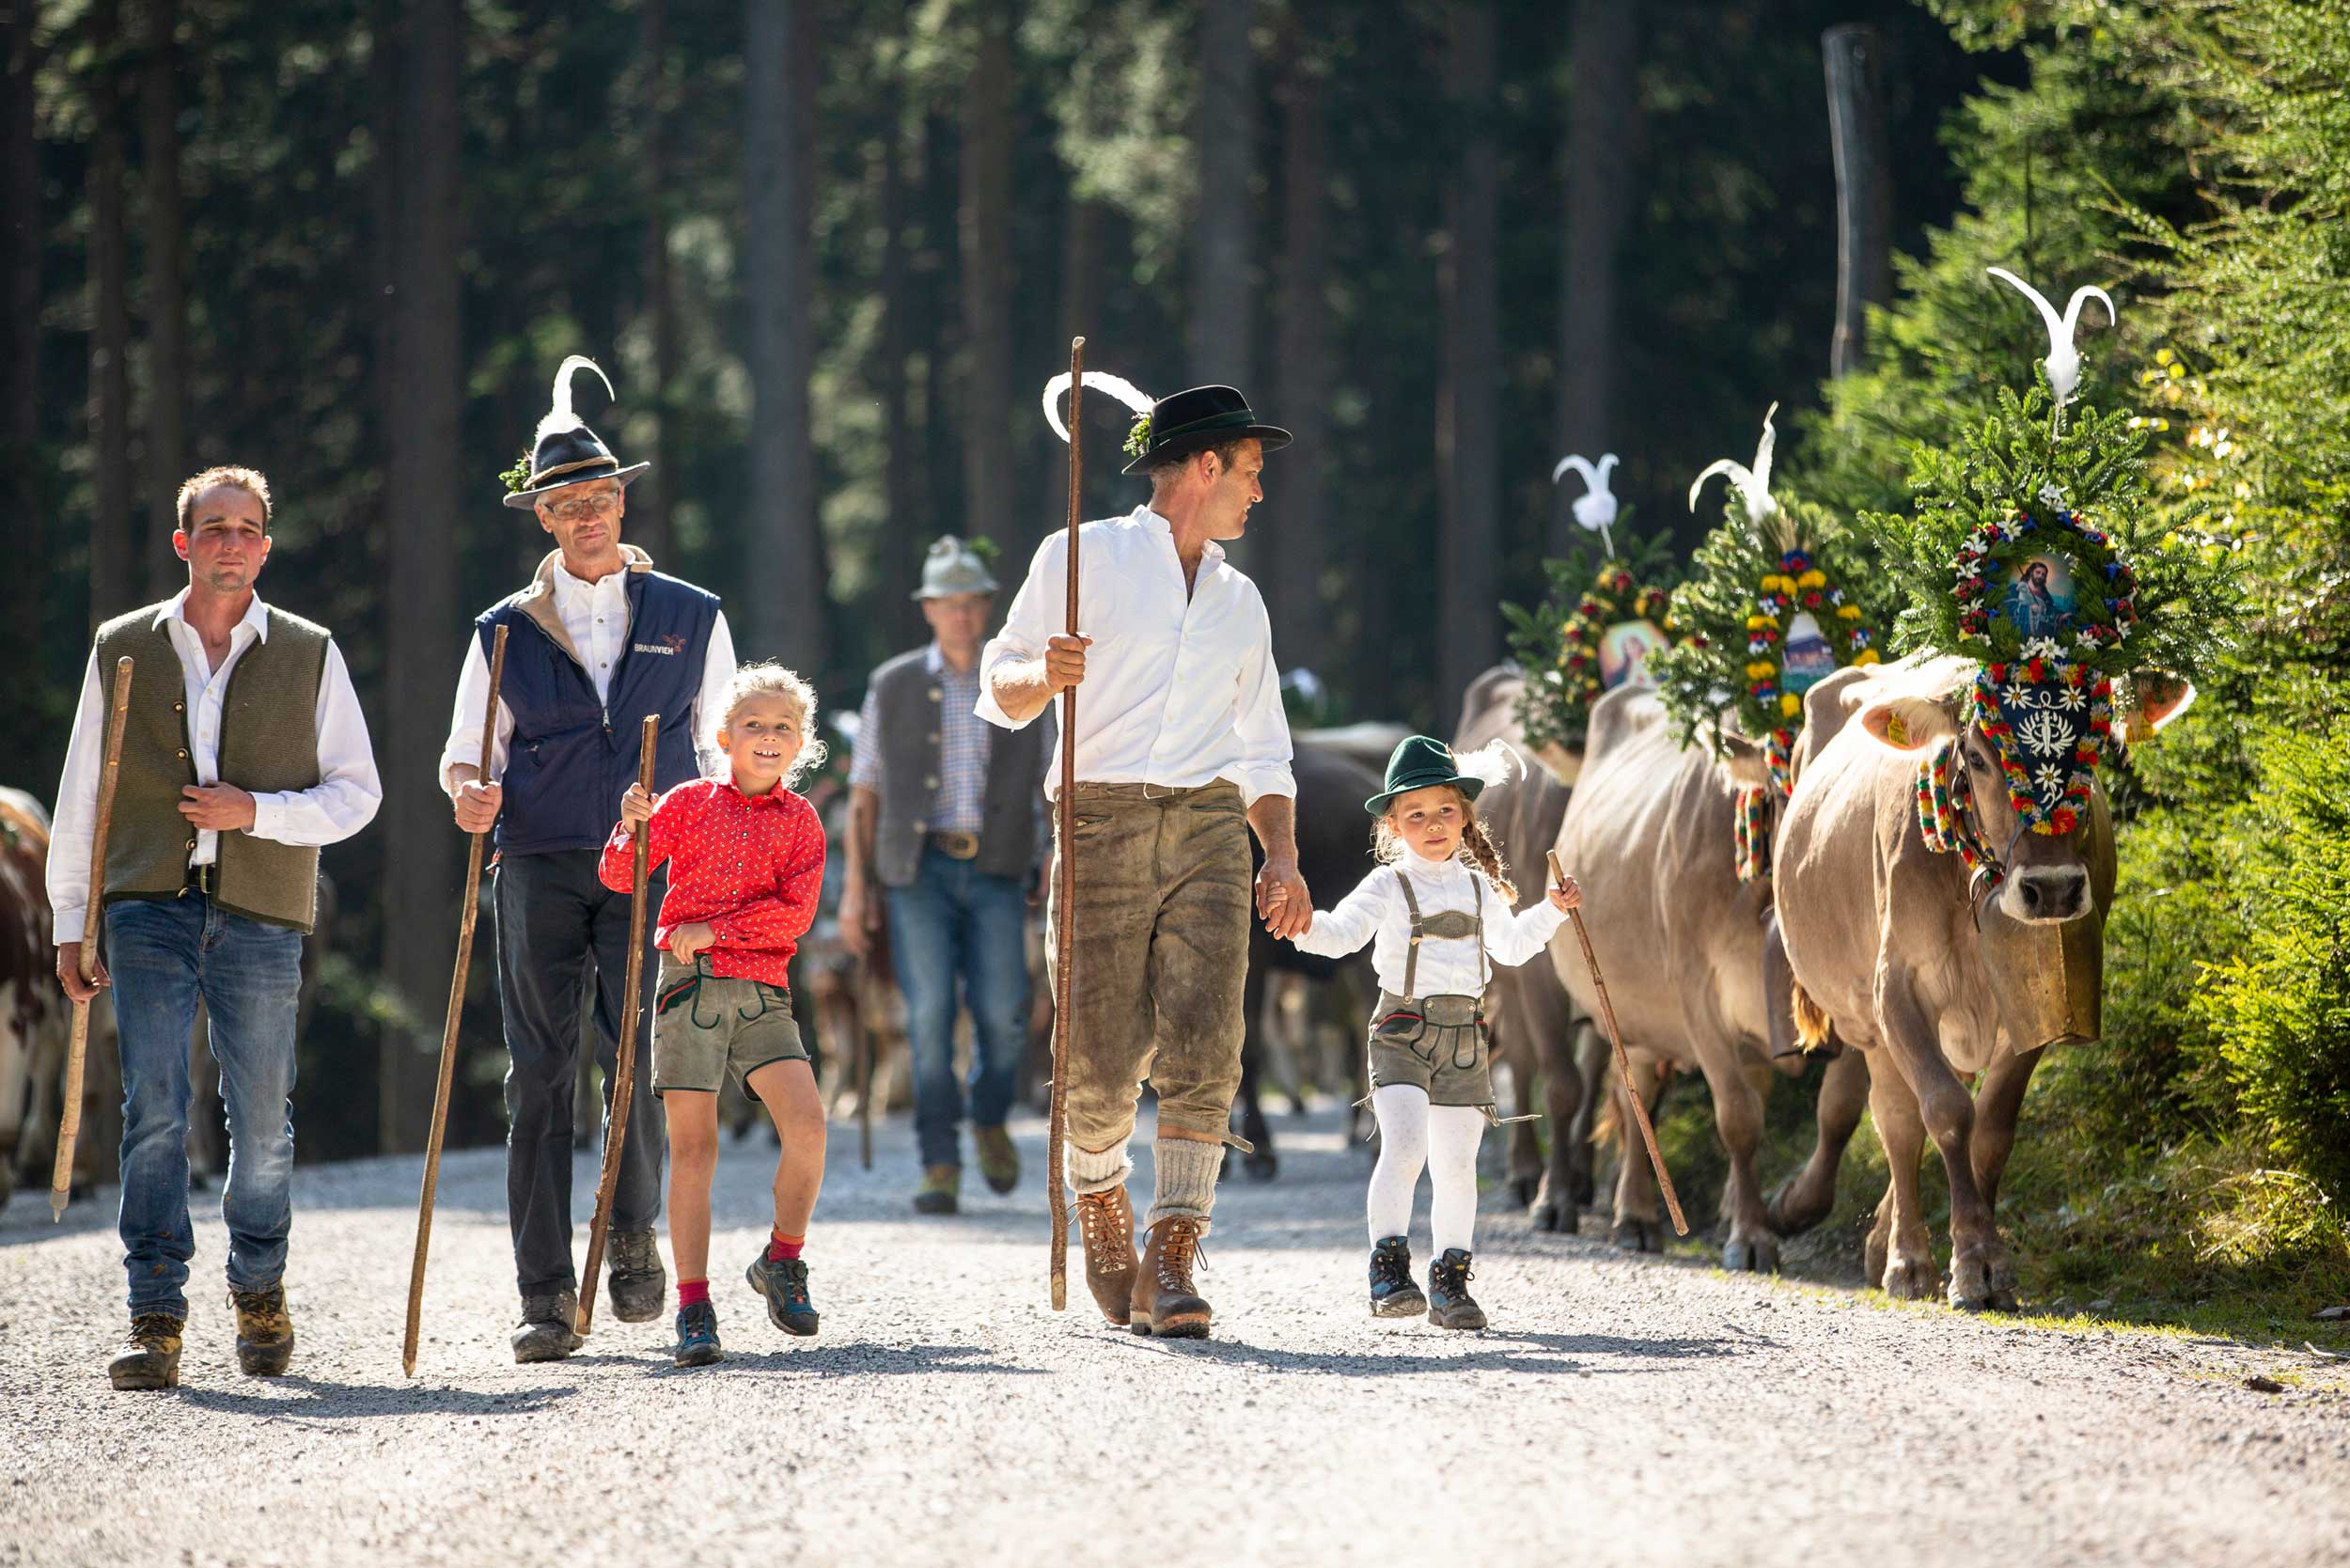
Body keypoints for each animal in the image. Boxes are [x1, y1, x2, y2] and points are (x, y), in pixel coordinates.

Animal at [1777, 653, 2181, 1316]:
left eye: (2095, 745)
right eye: (1978, 756)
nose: (2052, 890)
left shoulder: (2041, 998)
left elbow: (1991, 1128)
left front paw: (1989, 1258)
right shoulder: (1896, 990)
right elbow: (1943, 1112)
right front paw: (1963, 1261)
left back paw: (1882, 1243)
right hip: (1867, 1020)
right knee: (1896, 1119)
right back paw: (1905, 1257)